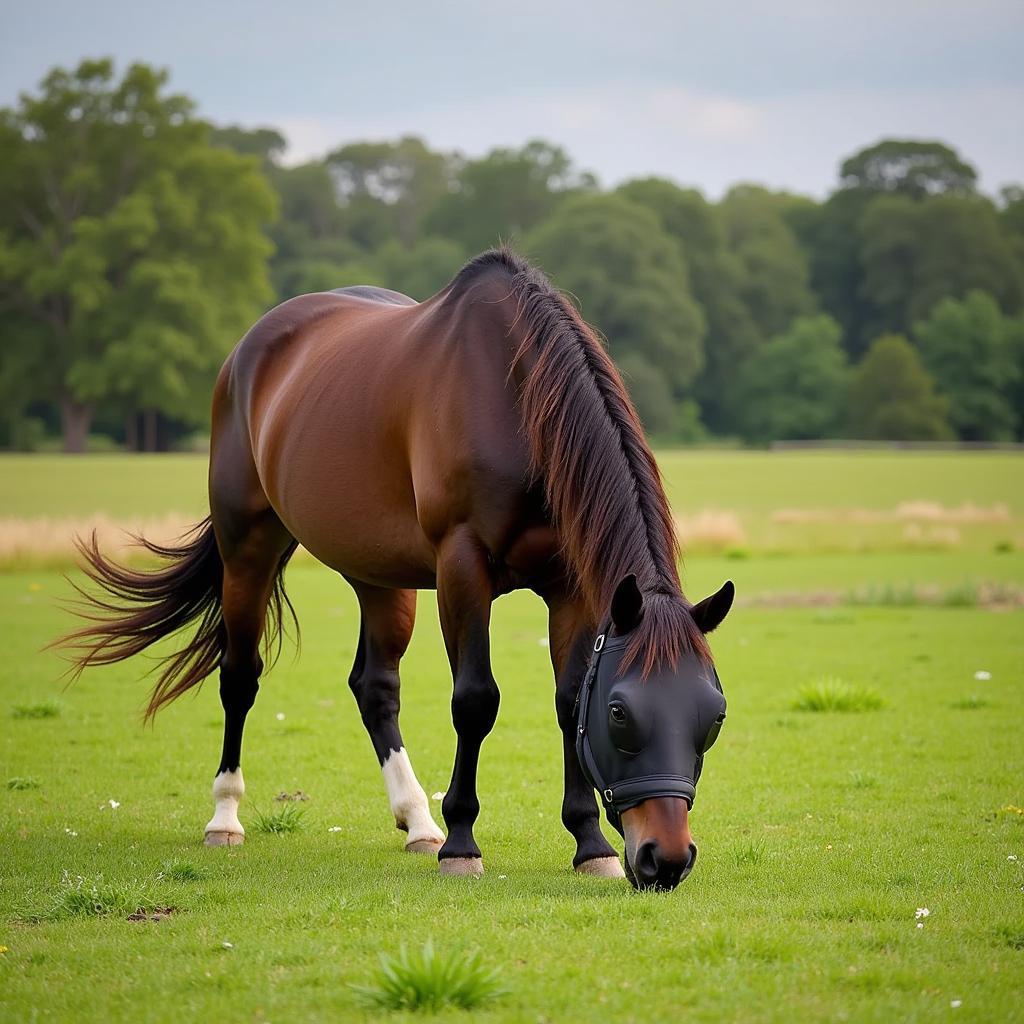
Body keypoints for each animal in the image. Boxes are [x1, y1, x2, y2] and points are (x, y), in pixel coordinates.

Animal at [56, 245, 733, 888]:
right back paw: (227, 816)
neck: (514, 399)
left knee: (375, 687)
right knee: (239, 677)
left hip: (380, 577)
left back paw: (417, 821)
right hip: (247, 549)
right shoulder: (462, 568)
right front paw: (463, 844)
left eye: (713, 714)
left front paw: (590, 844)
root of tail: (250, 350)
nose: (666, 859)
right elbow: (475, 700)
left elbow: (567, 701)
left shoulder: (570, 586)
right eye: (620, 713)